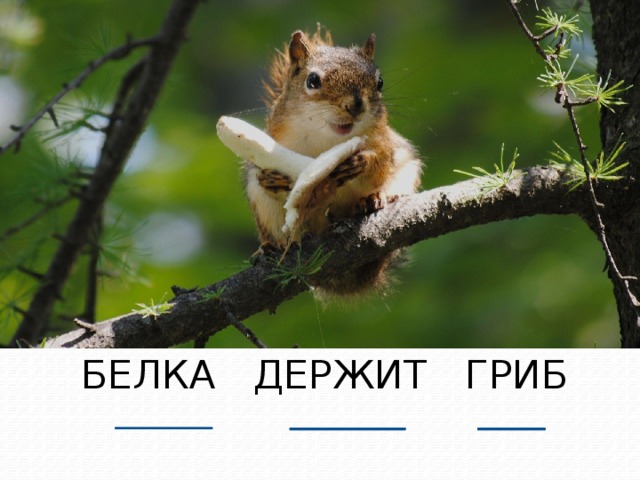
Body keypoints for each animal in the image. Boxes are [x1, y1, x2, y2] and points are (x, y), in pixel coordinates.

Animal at [245, 27, 422, 296]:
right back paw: (270, 247)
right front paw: (272, 179)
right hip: (262, 206)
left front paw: (363, 161)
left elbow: (381, 162)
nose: (356, 105)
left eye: (379, 82)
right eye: (312, 81)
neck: (328, 139)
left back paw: (374, 199)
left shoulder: (385, 142)